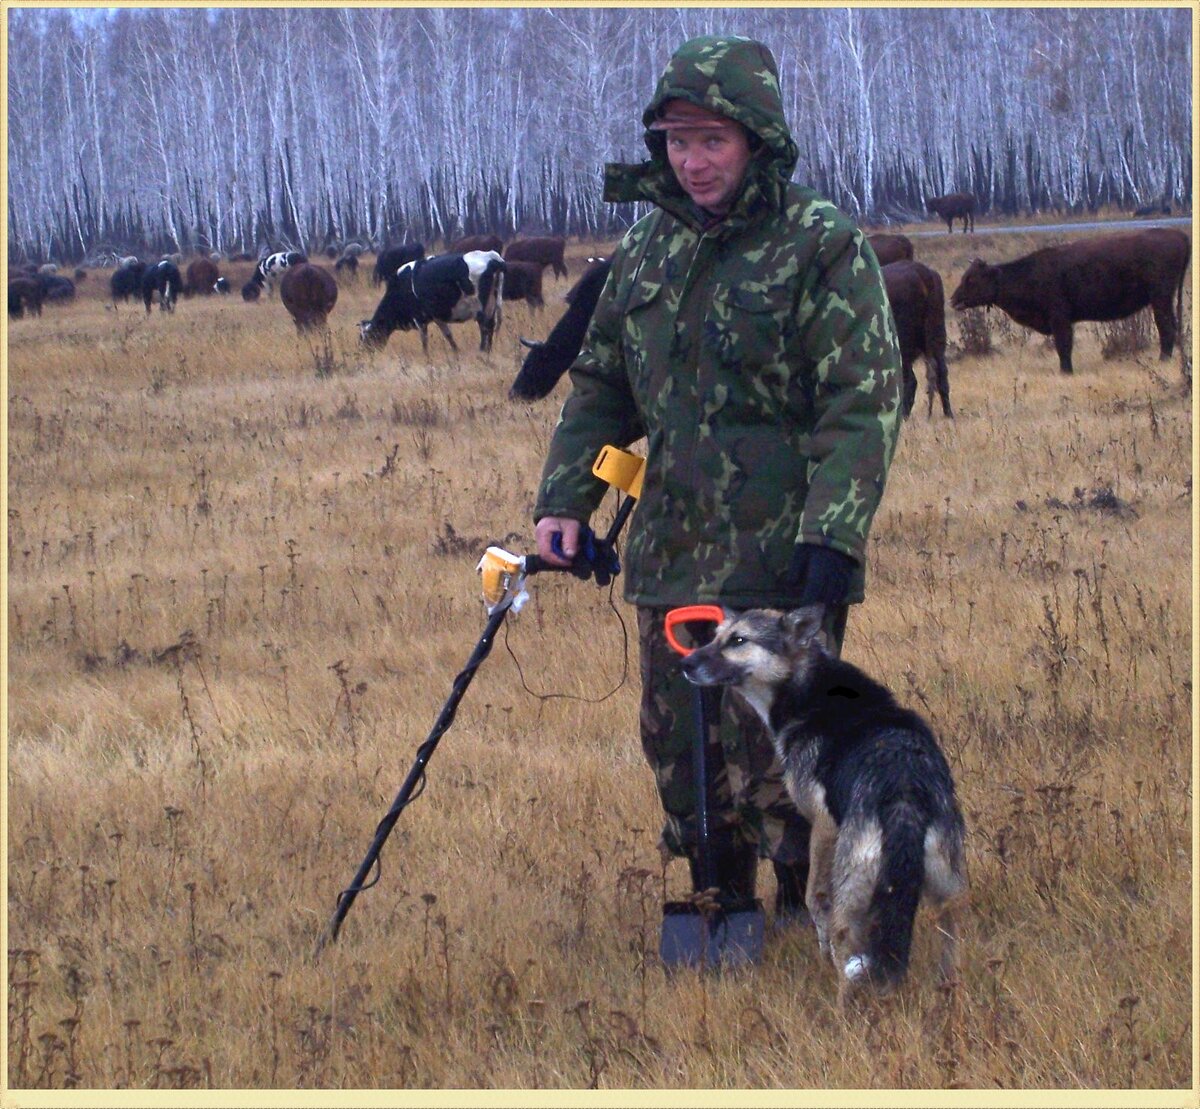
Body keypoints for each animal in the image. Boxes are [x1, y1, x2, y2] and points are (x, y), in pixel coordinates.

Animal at [357, 250, 504, 355]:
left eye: (368, 336)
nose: (365, 353)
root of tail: (491, 256)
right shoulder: (437, 316)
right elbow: (448, 335)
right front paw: (456, 351)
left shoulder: (419, 318)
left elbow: (424, 339)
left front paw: (426, 356)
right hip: (492, 303)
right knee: (491, 325)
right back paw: (488, 351)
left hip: (480, 306)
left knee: (484, 326)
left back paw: (482, 350)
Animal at [681, 607, 969, 1003]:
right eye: (715, 636)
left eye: (738, 641)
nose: (685, 663)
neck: (806, 686)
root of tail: (905, 796)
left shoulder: (822, 825)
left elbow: (814, 897)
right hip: (947, 889)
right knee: (950, 945)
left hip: (853, 894)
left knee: (848, 951)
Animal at [878, 260, 950, 420]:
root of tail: (922, 272)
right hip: (938, 340)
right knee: (942, 375)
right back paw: (949, 414)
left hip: (904, 348)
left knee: (910, 381)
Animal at [945, 226, 1190, 374]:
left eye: (971, 279)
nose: (953, 299)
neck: (1030, 274)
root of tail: (1176, 234)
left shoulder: (1060, 319)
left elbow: (1063, 346)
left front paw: (1066, 371)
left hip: (1160, 299)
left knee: (1166, 327)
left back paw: (1163, 360)